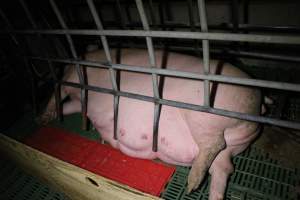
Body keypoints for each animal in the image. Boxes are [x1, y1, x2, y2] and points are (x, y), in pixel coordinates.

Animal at [39, 48, 260, 200]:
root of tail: (258, 105)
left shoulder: (70, 79)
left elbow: (57, 93)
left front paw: (41, 118)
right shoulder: (78, 101)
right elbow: (66, 106)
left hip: (204, 117)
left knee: (214, 145)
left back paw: (192, 184)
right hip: (229, 146)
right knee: (223, 168)